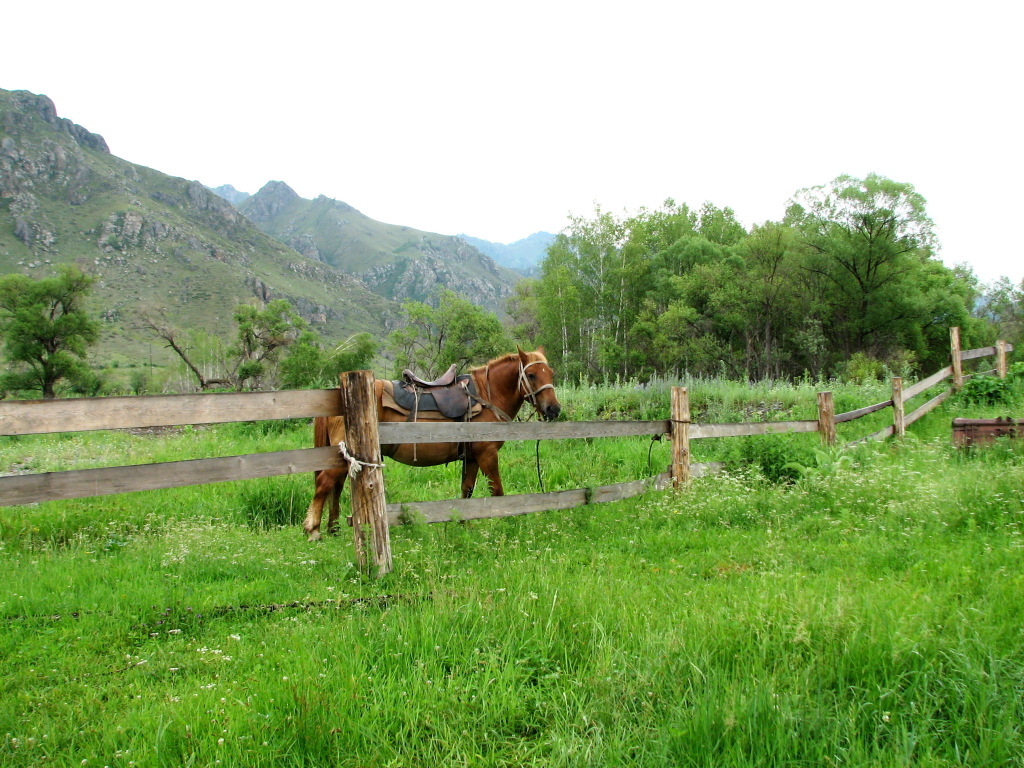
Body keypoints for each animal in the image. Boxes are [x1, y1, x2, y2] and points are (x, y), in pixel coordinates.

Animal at [301, 348, 561, 540]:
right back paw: (313, 529)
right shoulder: (487, 454)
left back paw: (334, 529)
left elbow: (466, 490)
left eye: (551, 373)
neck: (487, 396)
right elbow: (497, 491)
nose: (553, 409)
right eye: (531, 375)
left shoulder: (471, 457)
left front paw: (462, 524)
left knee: (336, 486)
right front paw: (506, 522)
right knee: (325, 483)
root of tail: (340, 392)